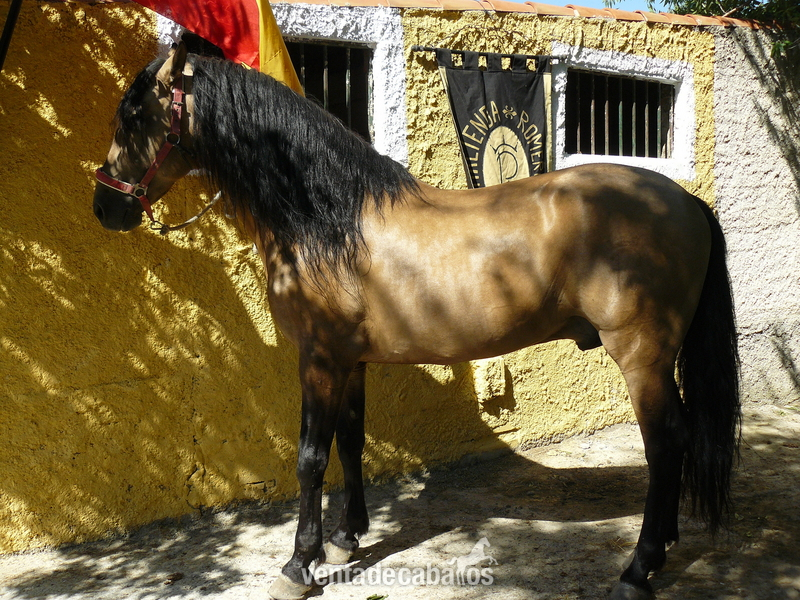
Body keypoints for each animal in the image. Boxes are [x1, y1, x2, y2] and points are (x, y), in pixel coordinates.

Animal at [92, 43, 740, 600]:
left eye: (134, 116)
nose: (106, 206)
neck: (329, 220)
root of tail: (685, 201)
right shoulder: (350, 361)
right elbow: (350, 442)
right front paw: (346, 536)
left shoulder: (319, 359)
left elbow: (310, 458)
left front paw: (299, 563)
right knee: (679, 439)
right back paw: (665, 545)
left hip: (641, 355)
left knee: (665, 443)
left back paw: (639, 567)